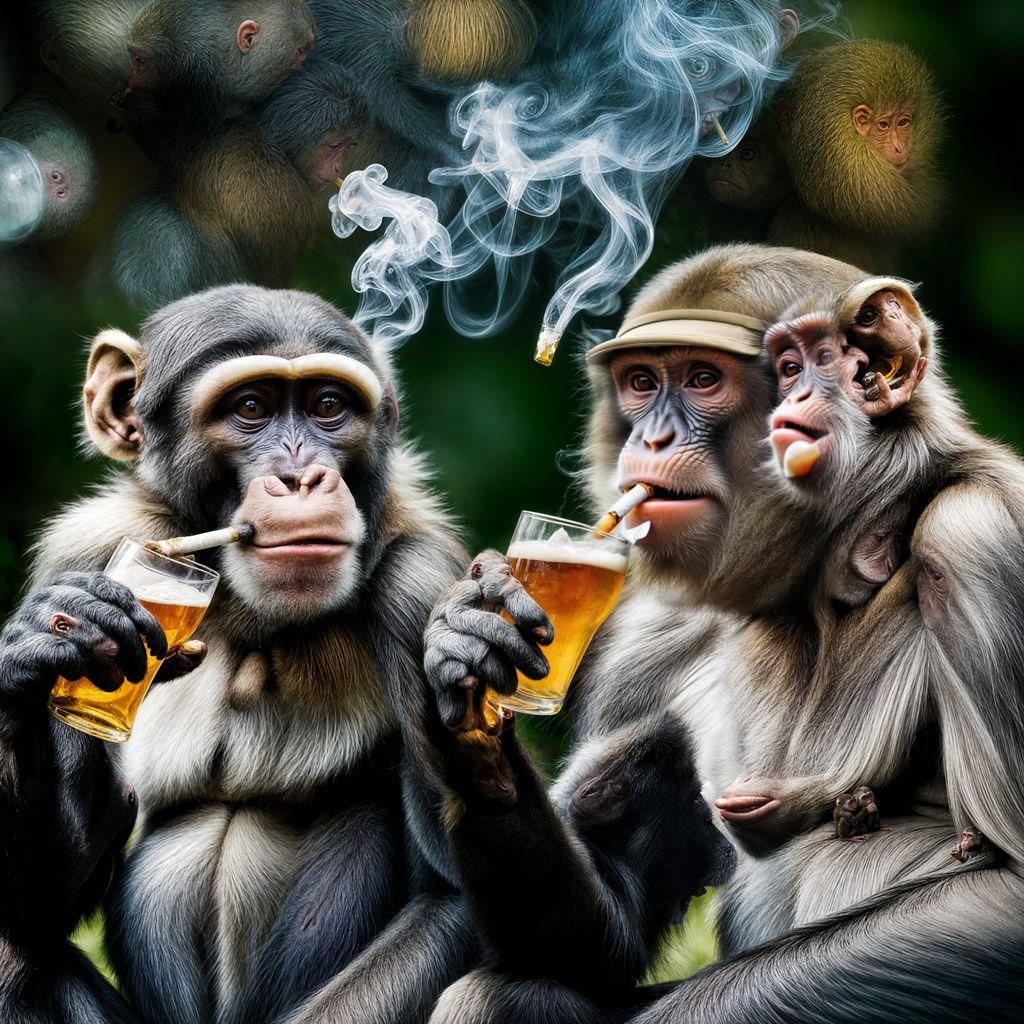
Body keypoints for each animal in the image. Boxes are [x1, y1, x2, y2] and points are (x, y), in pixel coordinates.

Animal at [1, 284, 496, 1024]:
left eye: (327, 406)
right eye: (252, 408)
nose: (300, 476)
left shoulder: (422, 584)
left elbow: (455, 898)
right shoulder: (84, 548)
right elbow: (41, 909)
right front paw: (40, 643)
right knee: (20, 958)